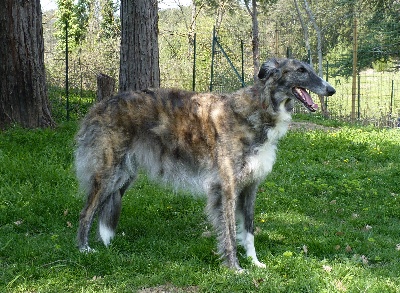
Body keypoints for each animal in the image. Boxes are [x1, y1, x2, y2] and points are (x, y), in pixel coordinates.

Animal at [74, 58, 334, 270]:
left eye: (310, 68)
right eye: (301, 70)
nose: (330, 89)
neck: (257, 111)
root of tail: (100, 105)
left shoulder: (251, 186)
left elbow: (248, 230)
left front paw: (255, 263)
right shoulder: (227, 187)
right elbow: (230, 232)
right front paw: (235, 269)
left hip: (124, 175)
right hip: (109, 173)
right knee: (86, 212)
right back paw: (83, 249)